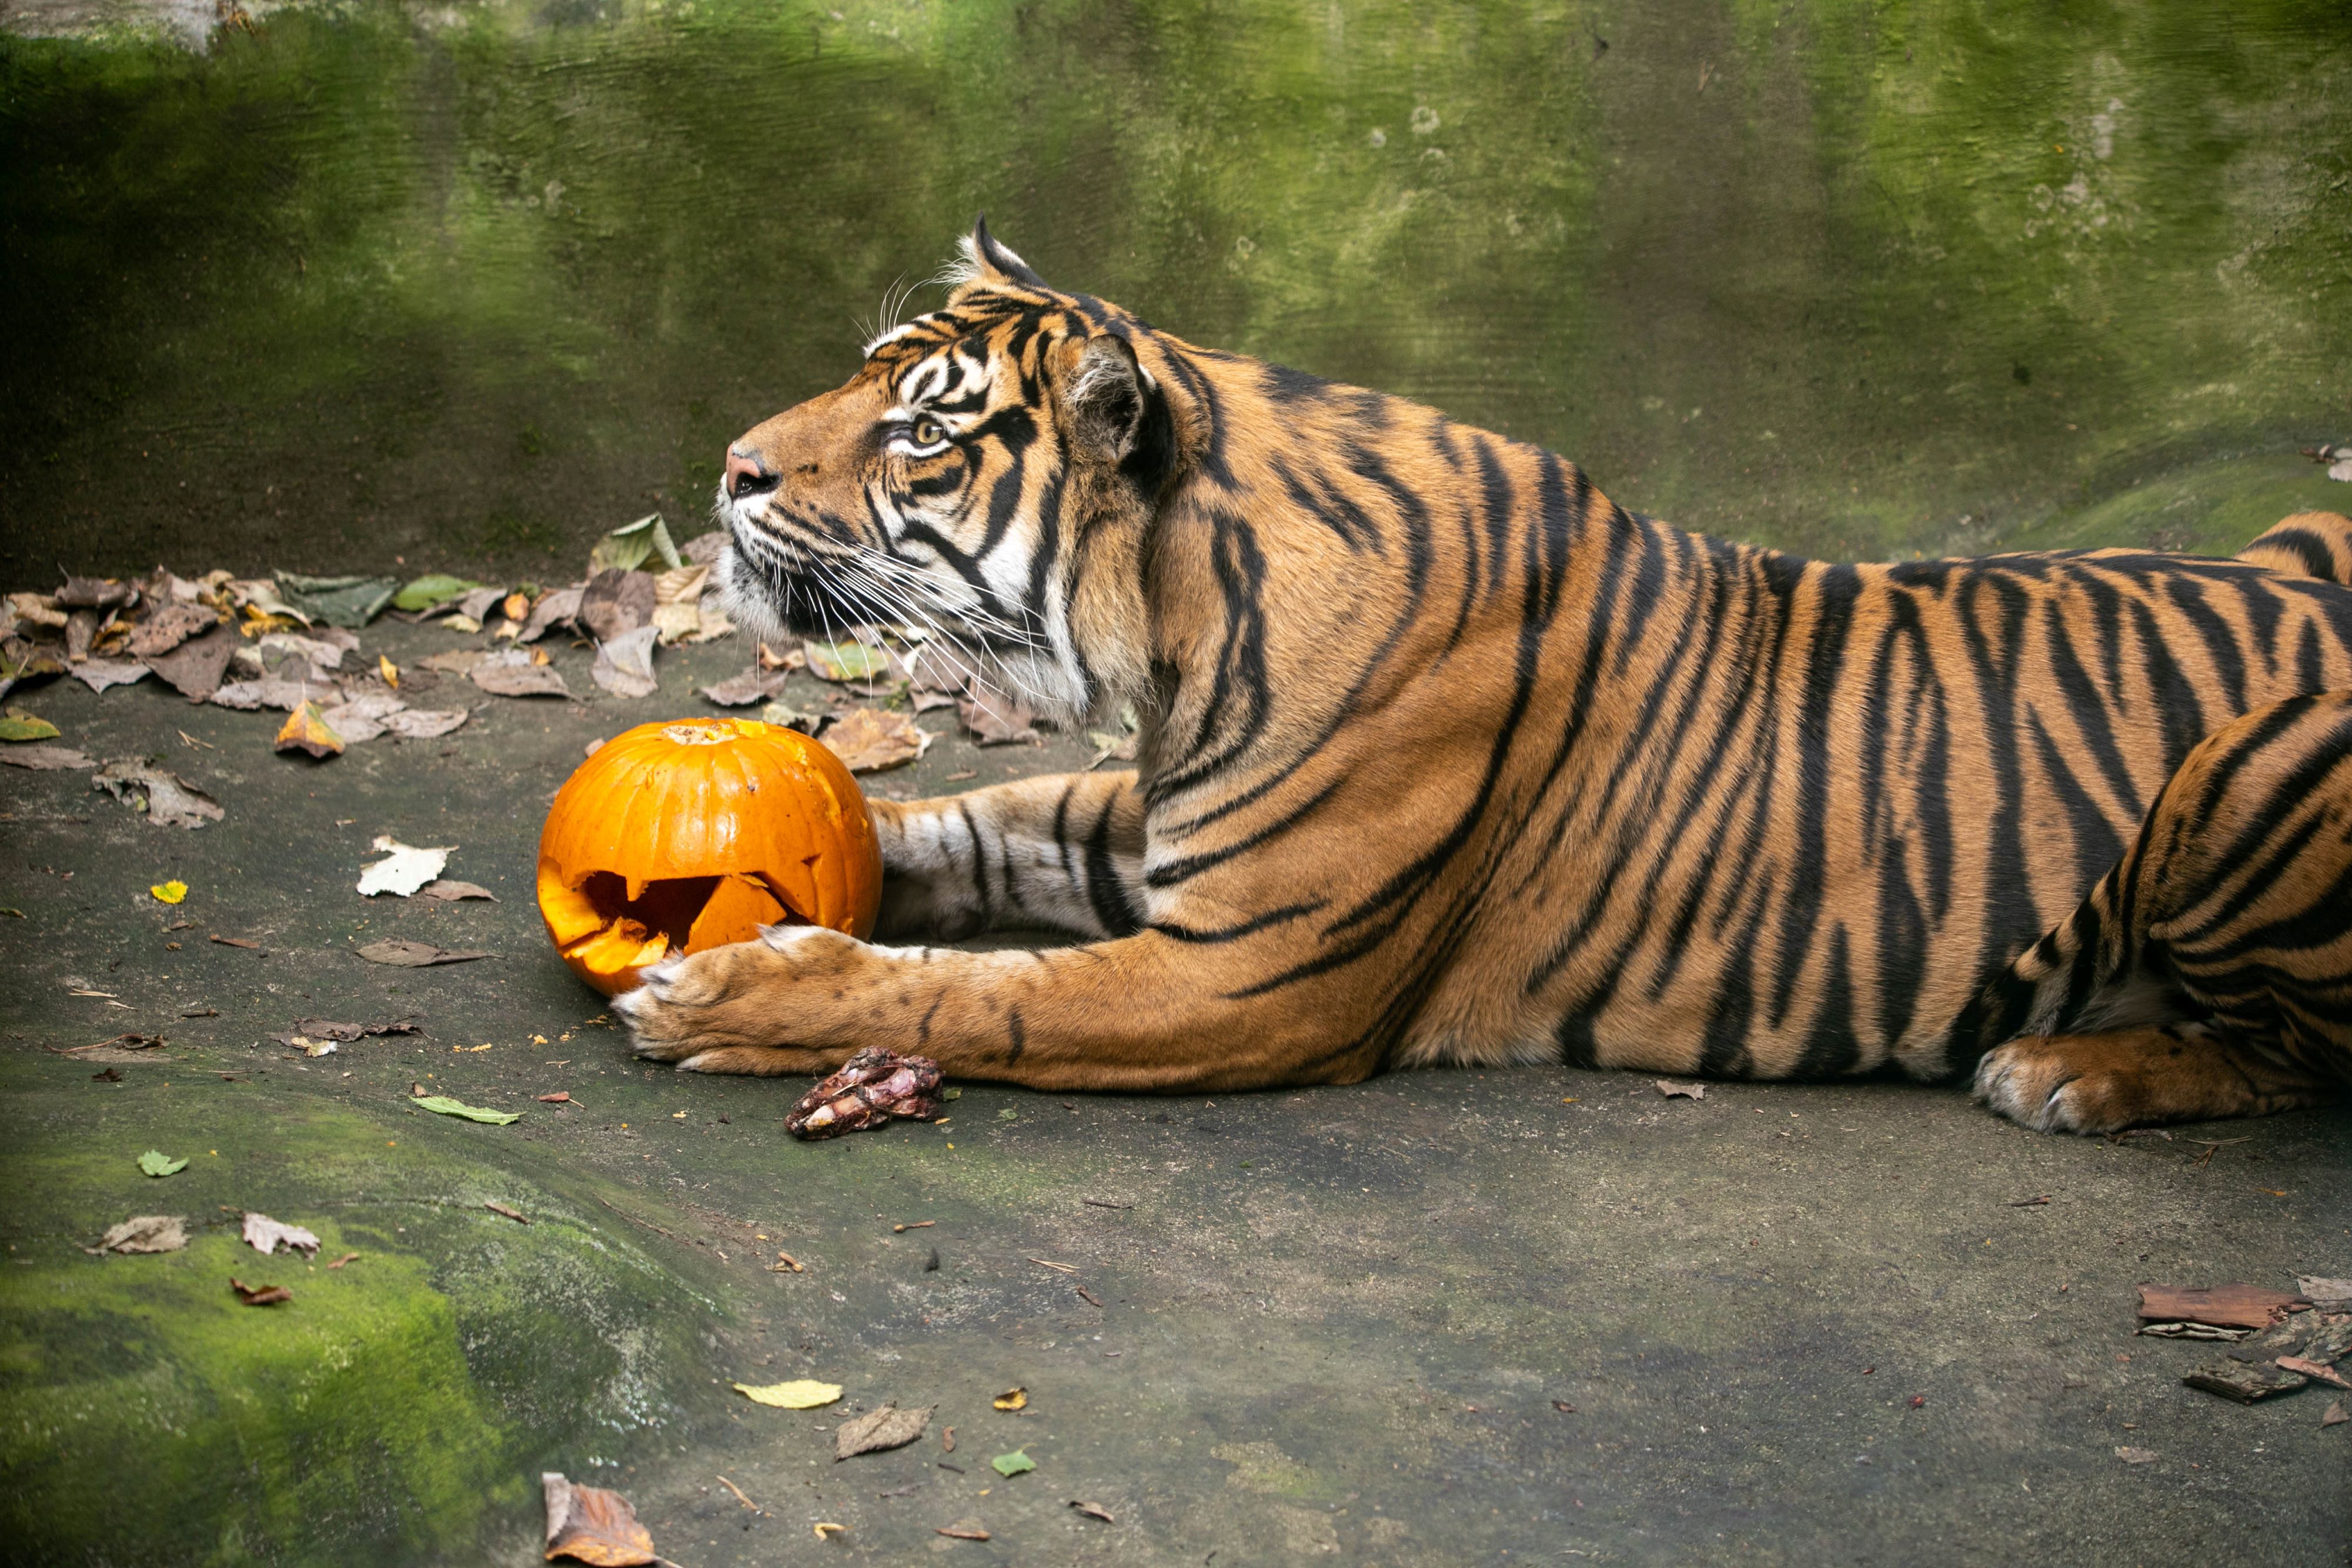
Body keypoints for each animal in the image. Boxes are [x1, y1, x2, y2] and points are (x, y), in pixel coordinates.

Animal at [621, 215, 2352, 1133]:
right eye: (860, 374)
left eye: (920, 431)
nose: (730, 470)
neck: (1180, 629)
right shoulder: (1159, 831)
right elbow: (966, 830)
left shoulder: (1246, 971)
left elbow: (977, 995)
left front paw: (728, 990)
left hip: (2253, 774)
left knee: (2303, 1060)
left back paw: (2065, 1068)